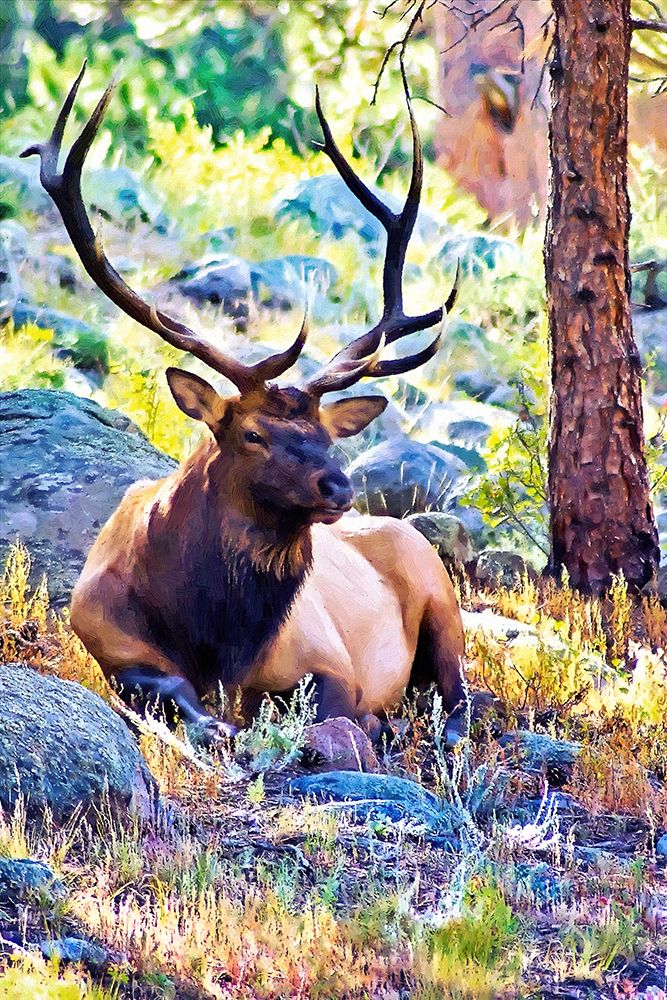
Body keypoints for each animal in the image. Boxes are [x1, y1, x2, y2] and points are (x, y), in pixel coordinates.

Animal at [22, 64, 471, 745]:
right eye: (253, 435)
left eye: (328, 437)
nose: (338, 487)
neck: (217, 639)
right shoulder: (108, 642)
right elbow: (177, 696)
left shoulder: (329, 659)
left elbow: (331, 708)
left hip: (441, 593)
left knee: (463, 697)